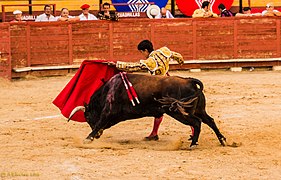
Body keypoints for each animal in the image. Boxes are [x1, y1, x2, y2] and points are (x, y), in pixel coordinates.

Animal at [68, 72, 225, 148]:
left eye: (88, 117)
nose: (99, 136)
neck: (107, 90)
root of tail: (189, 81)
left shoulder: (108, 112)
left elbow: (100, 123)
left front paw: (87, 139)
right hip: (198, 110)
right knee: (210, 121)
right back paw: (222, 140)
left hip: (179, 112)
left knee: (197, 123)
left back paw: (193, 144)